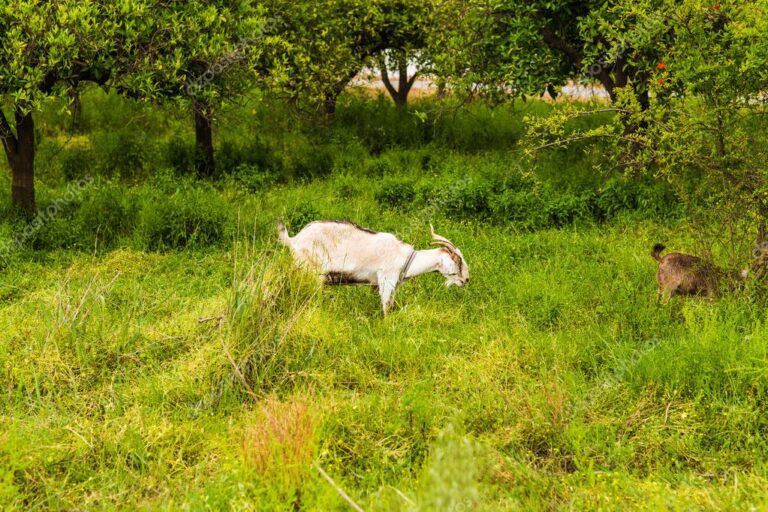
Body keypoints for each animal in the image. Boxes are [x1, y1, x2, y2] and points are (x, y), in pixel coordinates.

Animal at [276, 219, 468, 314]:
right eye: (458, 261)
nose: (466, 279)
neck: (406, 257)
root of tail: (294, 240)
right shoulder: (386, 280)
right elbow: (386, 307)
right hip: (311, 273)